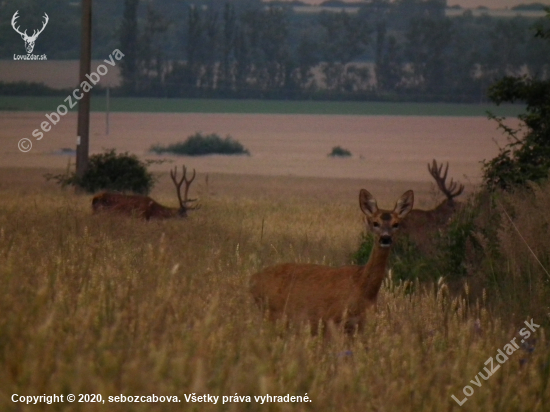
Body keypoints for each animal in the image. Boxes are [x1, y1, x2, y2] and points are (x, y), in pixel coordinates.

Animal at [250, 190, 414, 334]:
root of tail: (252, 279)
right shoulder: (331, 320)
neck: (362, 288)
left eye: (396, 224)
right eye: (375, 222)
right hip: (272, 312)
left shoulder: (359, 325)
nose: (385, 238)